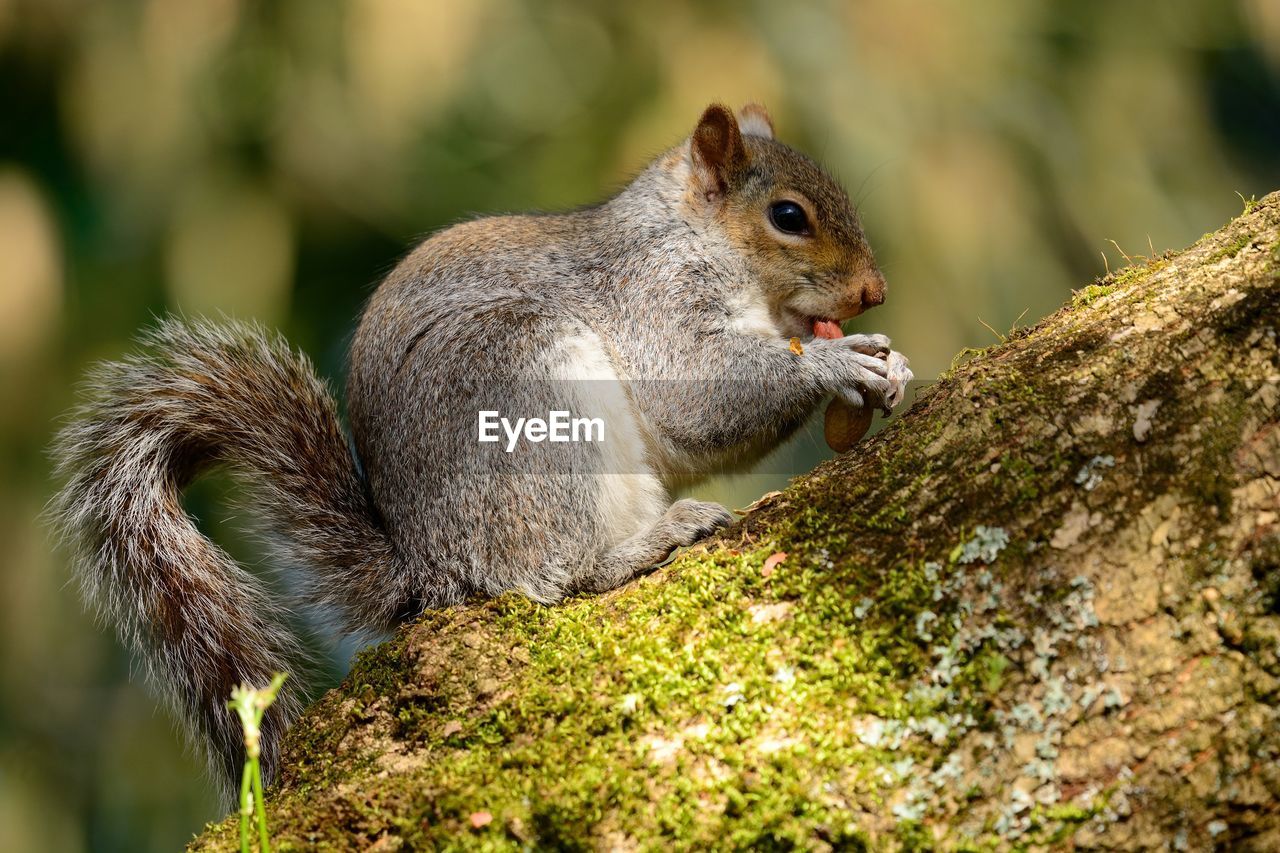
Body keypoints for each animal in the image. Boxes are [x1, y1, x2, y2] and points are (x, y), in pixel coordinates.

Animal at [49, 103, 911, 799]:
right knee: (552, 575)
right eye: (788, 215)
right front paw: (840, 361)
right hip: (528, 394)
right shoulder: (654, 300)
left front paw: (886, 362)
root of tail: (428, 566)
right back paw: (647, 543)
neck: (692, 238)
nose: (875, 293)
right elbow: (696, 402)